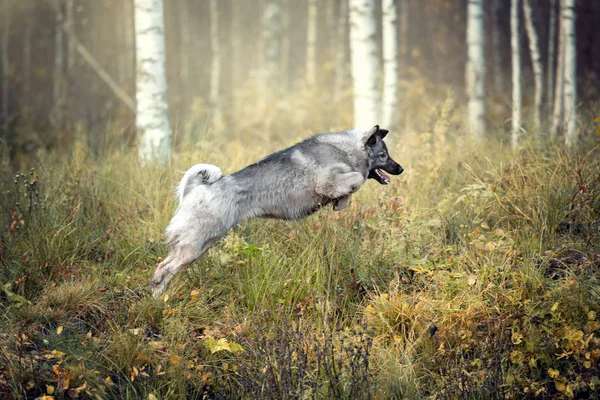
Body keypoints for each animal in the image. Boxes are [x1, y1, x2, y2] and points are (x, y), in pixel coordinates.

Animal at [150, 125, 404, 296]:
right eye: (383, 155)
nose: (400, 168)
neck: (346, 150)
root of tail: (201, 187)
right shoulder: (326, 181)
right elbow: (357, 178)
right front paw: (343, 198)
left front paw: (341, 201)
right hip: (196, 244)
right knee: (164, 269)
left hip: (200, 245)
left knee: (165, 267)